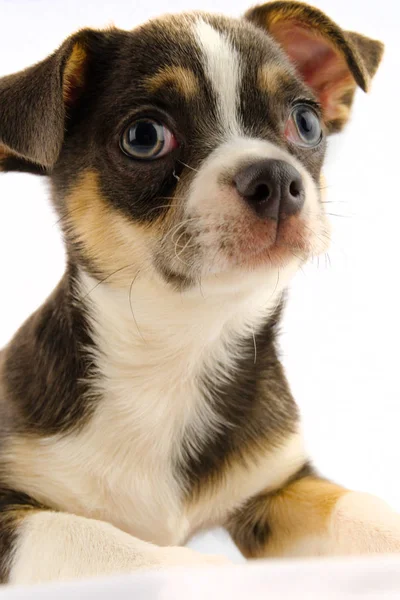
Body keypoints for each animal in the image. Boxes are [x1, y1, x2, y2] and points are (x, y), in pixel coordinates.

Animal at [0, 0, 396, 588]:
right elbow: (99, 540)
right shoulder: (17, 512)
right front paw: (214, 576)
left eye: (306, 122)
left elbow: (357, 510)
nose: (276, 177)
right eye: (144, 137)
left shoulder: (278, 488)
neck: (176, 350)